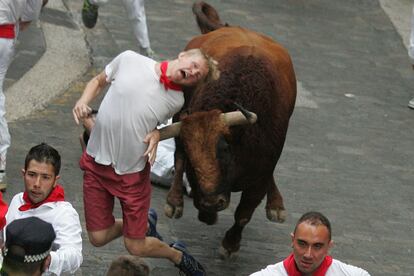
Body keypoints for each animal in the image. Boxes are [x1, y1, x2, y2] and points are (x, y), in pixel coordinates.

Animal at [160, 1, 296, 256]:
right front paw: (207, 214)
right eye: (193, 157)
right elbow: (181, 161)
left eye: (224, 150)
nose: (212, 202)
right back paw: (174, 202)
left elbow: (243, 215)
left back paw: (276, 205)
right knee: (176, 161)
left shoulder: (261, 174)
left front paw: (230, 244)